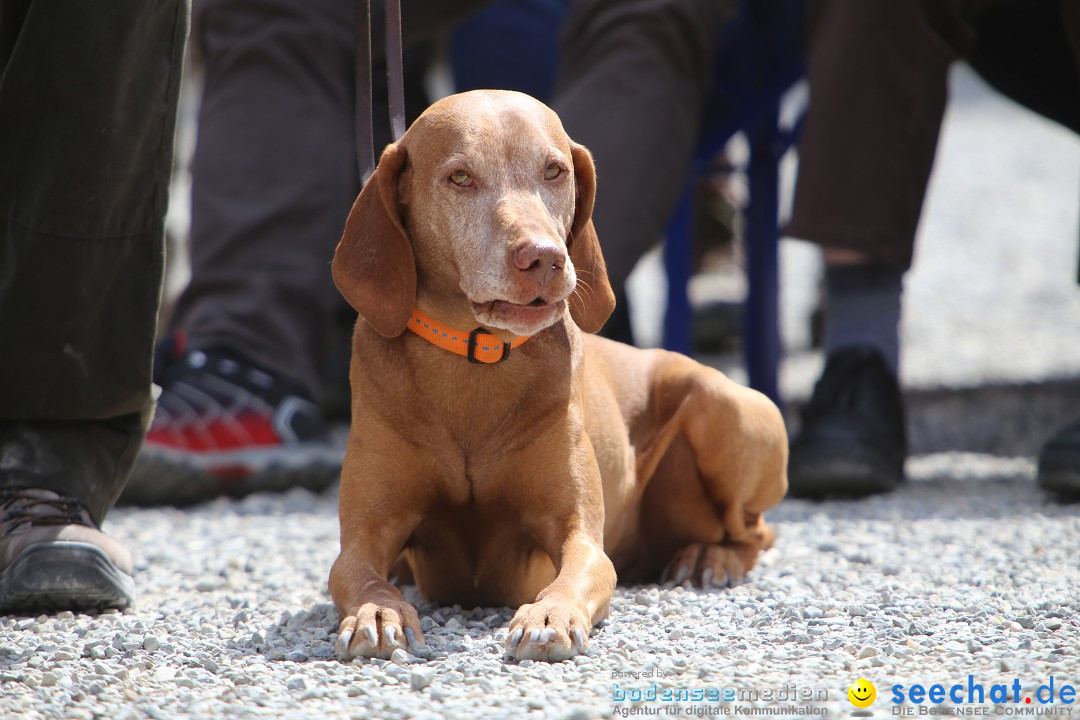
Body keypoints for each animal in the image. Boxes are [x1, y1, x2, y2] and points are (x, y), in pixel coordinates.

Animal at [328, 87, 786, 660]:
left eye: (554, 171)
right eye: (460, 177)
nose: (544, 258)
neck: (477, 358)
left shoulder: (579, 534)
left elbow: (574, 573)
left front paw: (549, 614)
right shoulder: (365, 534)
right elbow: (361, 574)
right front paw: (378, 609)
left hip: (722, 404)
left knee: (755, 533)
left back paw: (709, 557)